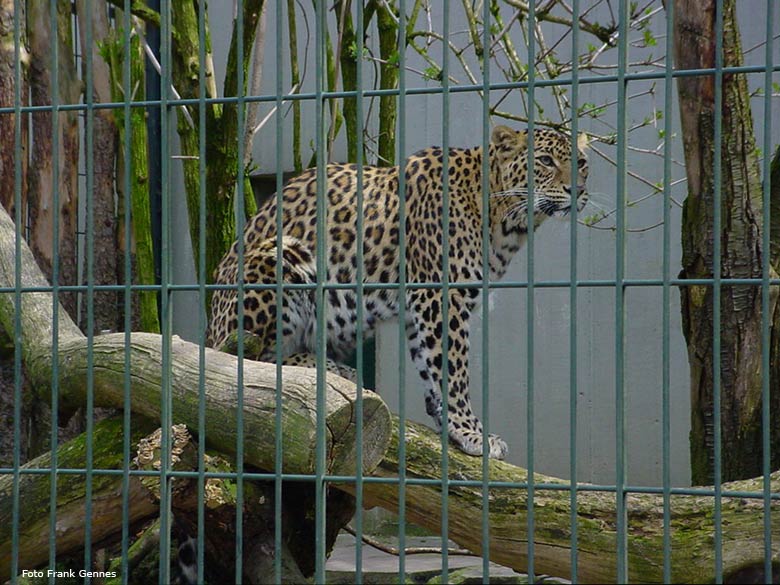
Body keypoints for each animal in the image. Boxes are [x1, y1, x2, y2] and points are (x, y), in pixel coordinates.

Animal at [209, 125, 592, 458]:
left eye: (582, 163)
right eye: (545, 160)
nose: (576, 190)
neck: (505, 220)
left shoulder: (420, 308)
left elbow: (431, 365)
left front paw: (447, 424)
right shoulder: (441, 297)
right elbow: (454, 369)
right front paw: (471, 431)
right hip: (280, 256)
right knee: (250, 360)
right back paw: (329, 370)